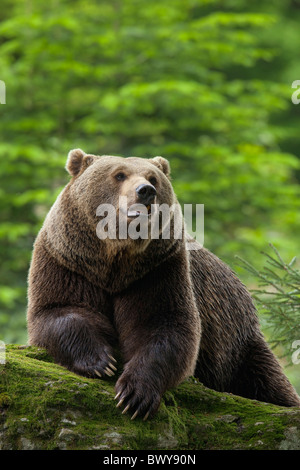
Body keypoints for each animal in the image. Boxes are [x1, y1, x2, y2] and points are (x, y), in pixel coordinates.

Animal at [26, 148, 300, 418]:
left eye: (153, 178)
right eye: (119, 175)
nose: (146, 191)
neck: (115, 261)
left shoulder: (158, 270)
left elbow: (164, 324)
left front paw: (135, 394)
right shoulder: (68, 263)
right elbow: (59, 310)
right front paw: (100, 362)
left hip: (235, 342)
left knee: (266, 379)